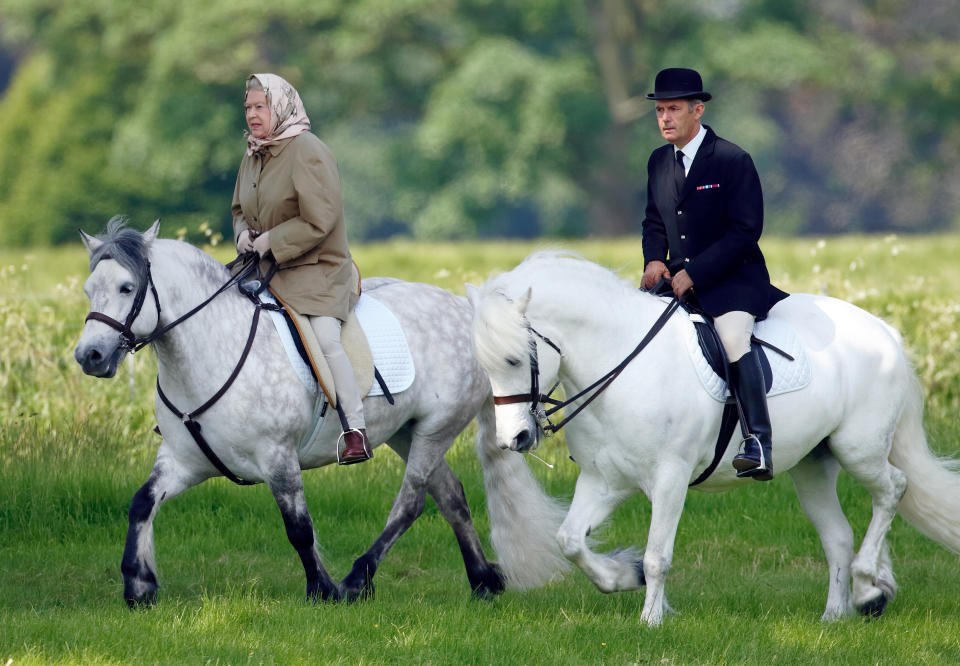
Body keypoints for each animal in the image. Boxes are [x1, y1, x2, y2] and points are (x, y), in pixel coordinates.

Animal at [74, 218, 510, 600]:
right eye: (89, 289)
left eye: (127, 288)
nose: (89, 356)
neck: (213, 349)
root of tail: (464, 308)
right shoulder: (183, 460)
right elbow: (141, 503)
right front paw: (138, 583)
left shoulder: (278, 457)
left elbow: (299, 528)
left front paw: (322, 589)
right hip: (407, 431)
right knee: (450, 496)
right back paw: (483, 580)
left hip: (437, 429)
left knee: (411, 502)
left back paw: (357, 580)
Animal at [466, 249, 960, 624]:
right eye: (484, 364)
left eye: (515, 359)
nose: (516, 439)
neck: (622, 362)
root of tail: (886, 331)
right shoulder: (604, 479)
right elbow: (569, 541)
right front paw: (624, 578)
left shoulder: (670, 477)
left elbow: (658, 554)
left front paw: (651, 619)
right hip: (813, 464)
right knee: (838, 534)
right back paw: (837, 614)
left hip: (859, 449)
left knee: (893, 489)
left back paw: (867, 588)